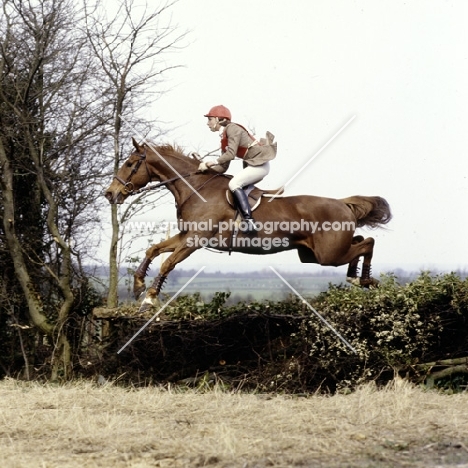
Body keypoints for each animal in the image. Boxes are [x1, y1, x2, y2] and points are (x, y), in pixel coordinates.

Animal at [105, 140, 392, 314]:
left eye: (130, 164)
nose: (110, 194)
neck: (196, 189)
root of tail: (343, 203)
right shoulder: (186, 235)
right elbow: (154, 250)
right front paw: (138, 285)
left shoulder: (194, 239)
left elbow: (167, 263)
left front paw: (149, 298)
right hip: (313, 254)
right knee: (360, 241)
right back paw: (359, 278)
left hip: (327, 254)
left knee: (367, 243)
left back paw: (362, 278)